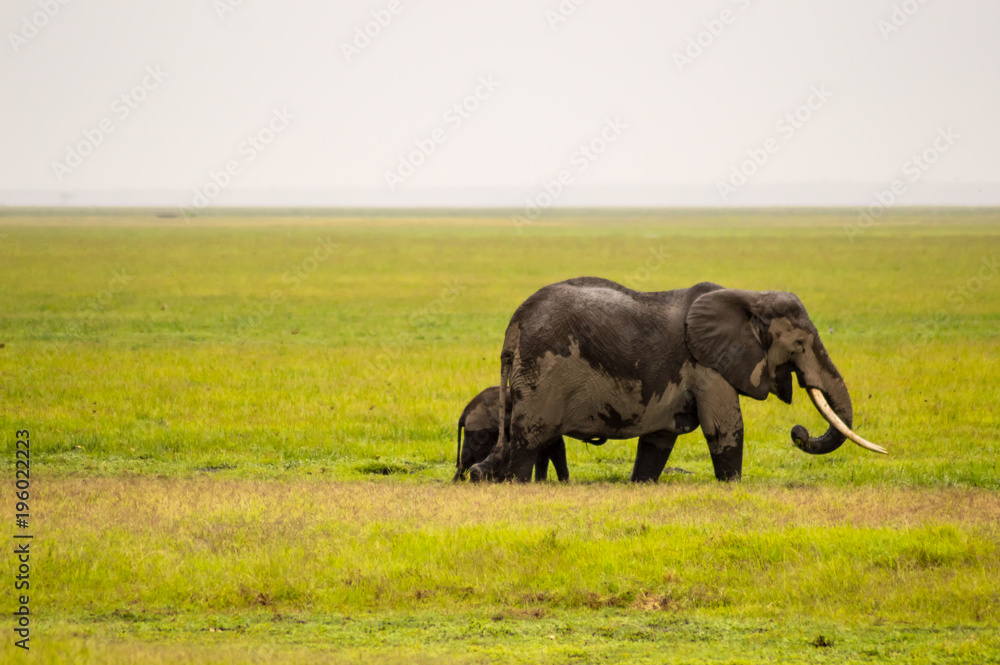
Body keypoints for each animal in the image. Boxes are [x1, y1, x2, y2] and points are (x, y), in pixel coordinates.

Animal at [469, 277, 886, 483]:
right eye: (800, 344)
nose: (798, 432)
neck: (749, 297)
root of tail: (514, 325)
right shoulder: (707, 366)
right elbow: (725, 427)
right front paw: (732, 487)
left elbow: (658, 440)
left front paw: (641, 485)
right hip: (542, 371)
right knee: (529, 438)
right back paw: (518, 484)